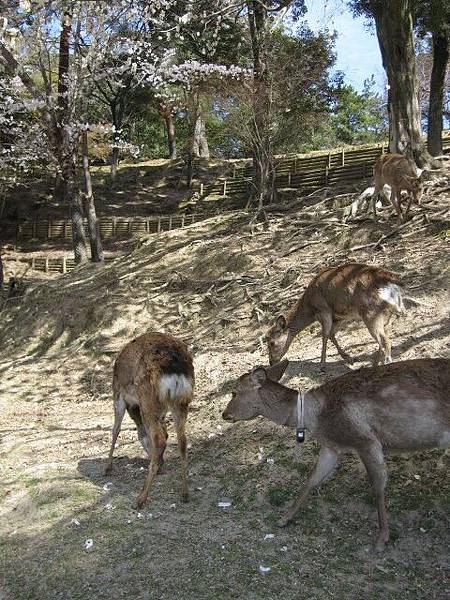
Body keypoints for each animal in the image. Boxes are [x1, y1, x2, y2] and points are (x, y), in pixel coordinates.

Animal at [107, 330, 197, 508]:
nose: (161, 462)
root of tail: (174, 367)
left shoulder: (118, 393)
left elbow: (116, 429)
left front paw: (107, 468)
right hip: (181, 401)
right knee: (182, 440)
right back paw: (185, 493)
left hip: (148, 399)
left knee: (160, 439)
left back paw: (141, 498)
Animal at [223, 358, 450, 552]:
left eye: (234, 392)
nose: (224, 414)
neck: (316, 418)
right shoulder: (332, 447)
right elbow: (312, 479)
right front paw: (284, 518)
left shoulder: (365, 441)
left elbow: (378, 486)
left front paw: (381, 540)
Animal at [268, 262, 404, 370]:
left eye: (272, 343)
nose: (271, 362)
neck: (310, 309)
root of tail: (394, 284)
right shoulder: (339, 316)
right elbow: (332, 334)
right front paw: (348, 358)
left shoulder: (324, 310)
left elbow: (325, 335)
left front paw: (322, 365)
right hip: (385, 314)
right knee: (384, 337)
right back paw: (374, 365)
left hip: (371, 313)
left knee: (384, 340)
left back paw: (386, 363)